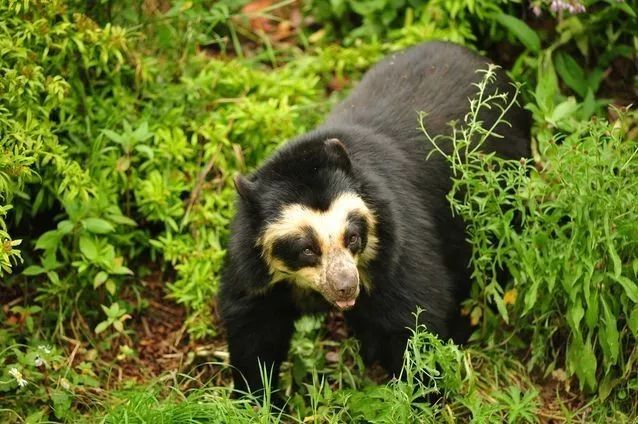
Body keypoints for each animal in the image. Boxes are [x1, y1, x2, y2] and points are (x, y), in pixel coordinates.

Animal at [218, 39, 532, 394]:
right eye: (306, 249)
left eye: (353, 237)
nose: (346, 286)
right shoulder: (254, 266)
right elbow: (254, 323)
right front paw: (258, 394)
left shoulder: (397, 241)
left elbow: (415, 316)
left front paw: (416, 392)